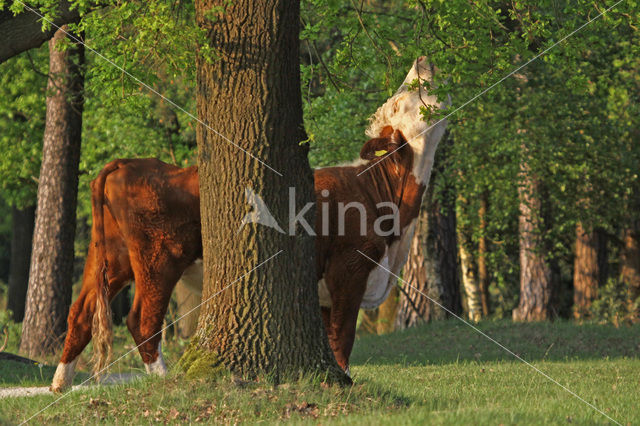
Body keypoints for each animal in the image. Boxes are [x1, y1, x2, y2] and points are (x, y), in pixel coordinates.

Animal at [52, 57, 448, 392]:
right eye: (399, 102)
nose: (420, 60)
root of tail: (129, 163)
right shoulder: (348, 270)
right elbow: (342, 337)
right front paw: (343, 381)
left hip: (110, 256)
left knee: (80, 313)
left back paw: (60, 384)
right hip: (158, 258)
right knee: (142, 321)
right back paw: (163, 378)